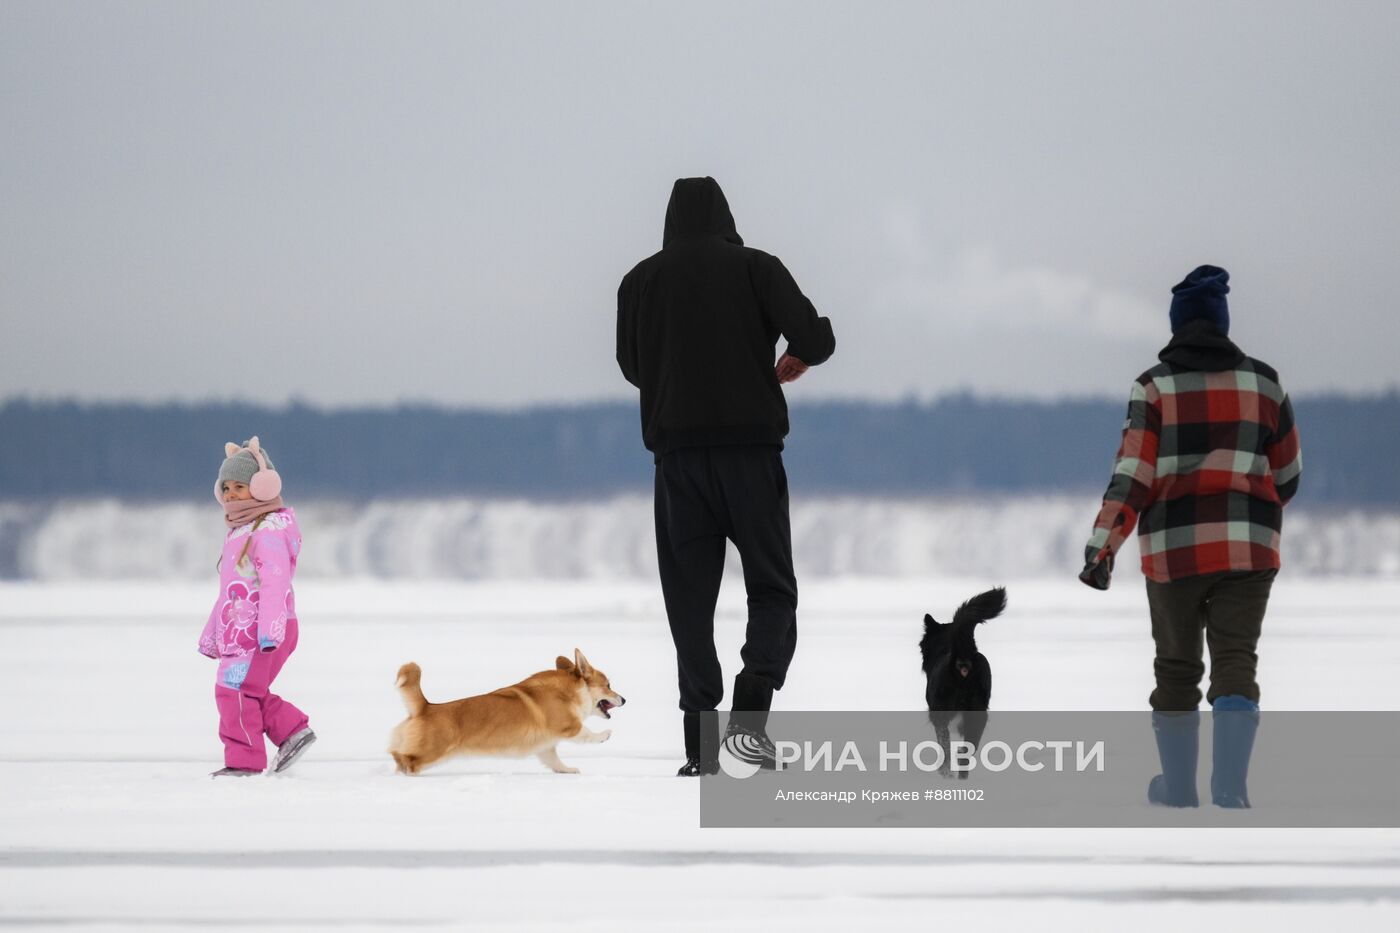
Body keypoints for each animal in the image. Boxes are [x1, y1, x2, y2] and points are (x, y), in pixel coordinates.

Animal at [386, 647, 621, 767]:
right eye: (609, 685)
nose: (624, 700)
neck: (572, 692)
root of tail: (424, 707)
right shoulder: (569, 727)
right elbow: (587, 734)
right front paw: (605, 735)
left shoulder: (545, 747)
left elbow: (554, 762)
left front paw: (569, 771)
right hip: (432, 752)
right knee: (407, 761)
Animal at [918, 588, 1008, 778]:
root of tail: (963, 653)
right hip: (979, 712)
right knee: (967, 751)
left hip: (942, 712)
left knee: (946, 748)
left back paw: (947, 773)